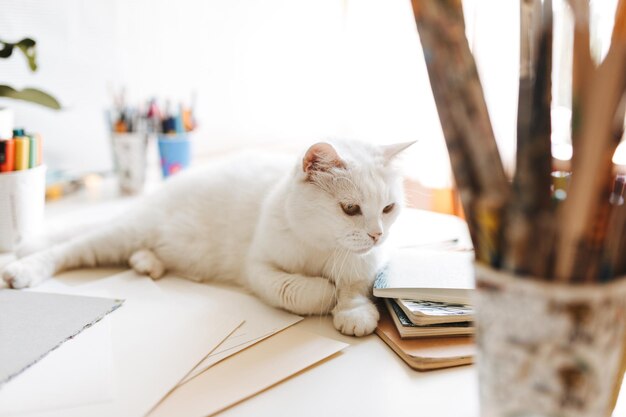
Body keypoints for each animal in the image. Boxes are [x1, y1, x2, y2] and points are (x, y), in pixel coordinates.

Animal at [2, 140, 412, 334]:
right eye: (350, 209)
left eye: (389, 209)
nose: (377, 234)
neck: (324, 249)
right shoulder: (259, 269)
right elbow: (303, 292)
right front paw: (327, 292)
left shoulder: (369, 264)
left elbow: (356, 287)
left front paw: (354, 312)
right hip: (120, 234)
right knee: (69, 249)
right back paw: (22, 271)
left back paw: (147, 262)